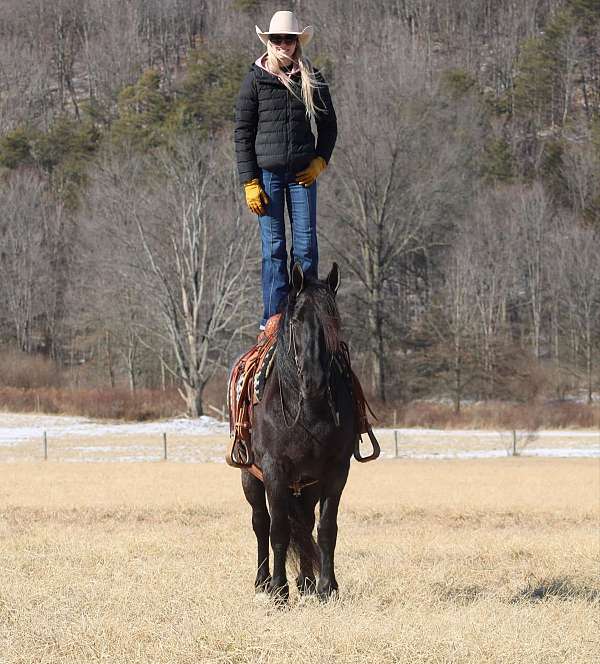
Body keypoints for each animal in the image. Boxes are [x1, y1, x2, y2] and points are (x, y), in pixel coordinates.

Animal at [240, 264, 376, 600]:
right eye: (297, 320)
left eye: (333, 320)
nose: (314, 380)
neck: (307, 409)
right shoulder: (274, 470)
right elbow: (277, 530)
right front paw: (279, 591)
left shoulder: (335, 471)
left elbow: (326, 528)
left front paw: (328, 587)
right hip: (250, 477)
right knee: (260, 522)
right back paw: (263, 582)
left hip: (307, 484)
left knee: (304, 521)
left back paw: (307, 581)